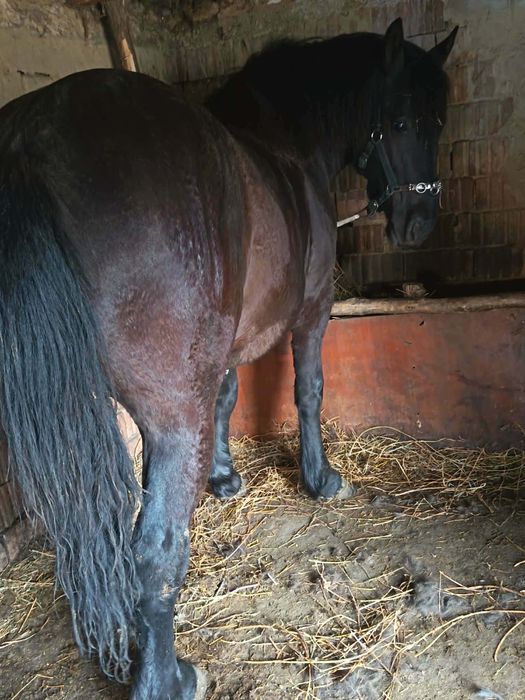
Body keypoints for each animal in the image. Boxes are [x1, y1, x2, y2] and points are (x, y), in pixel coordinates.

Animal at [0, 17, 456, 700]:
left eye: (439, 122)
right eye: (398, 121)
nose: (419, 222)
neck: (289, 147)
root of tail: (34, 138)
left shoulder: (228, 344)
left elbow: (227, 397)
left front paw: (222, 477)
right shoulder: (311, 313)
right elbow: (308, 391)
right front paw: (320, 479)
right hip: (166, 417)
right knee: (154, 552)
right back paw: (168, 678)